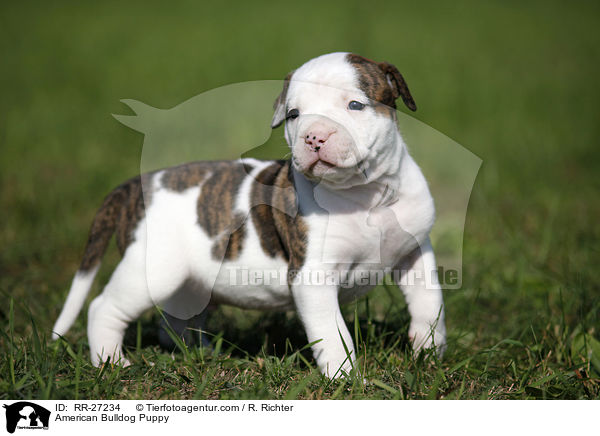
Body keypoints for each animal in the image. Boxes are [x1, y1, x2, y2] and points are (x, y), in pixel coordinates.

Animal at [52, 52, 446, 378]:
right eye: (294, 115)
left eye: (355, 105)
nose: (314, 137)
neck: (366, 194)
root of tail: (136, 184)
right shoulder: (313, 277)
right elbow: (333, 334)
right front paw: (345, 378)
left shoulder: (415, 252)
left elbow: (430, 303)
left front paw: (430, 352)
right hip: (151, 269)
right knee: (103, 307)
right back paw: (110, 362)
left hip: (190, 281)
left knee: (175, 318)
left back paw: (200, 352)